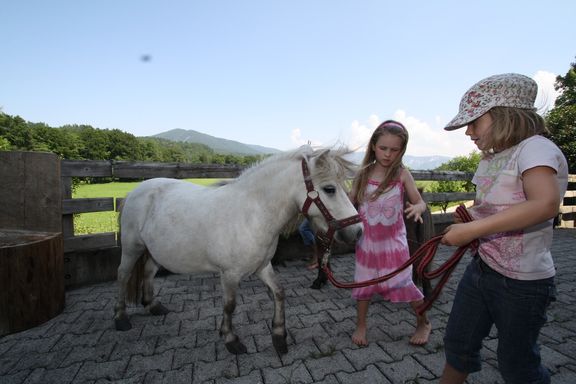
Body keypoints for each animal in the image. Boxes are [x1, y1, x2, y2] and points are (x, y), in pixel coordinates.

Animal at [114, 146, 362, 354]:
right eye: (329, 189)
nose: (358, 231)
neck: (252, 213)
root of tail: (134, 191)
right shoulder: (230, 274)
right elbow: (230, 305)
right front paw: (230, 339)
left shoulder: (262, 266)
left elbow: (279, 292)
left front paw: (279, 335)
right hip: (132, 248)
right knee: (123, 275)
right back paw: (120, 318)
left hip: (155, 252)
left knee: (147, 272)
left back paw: (152, 305)